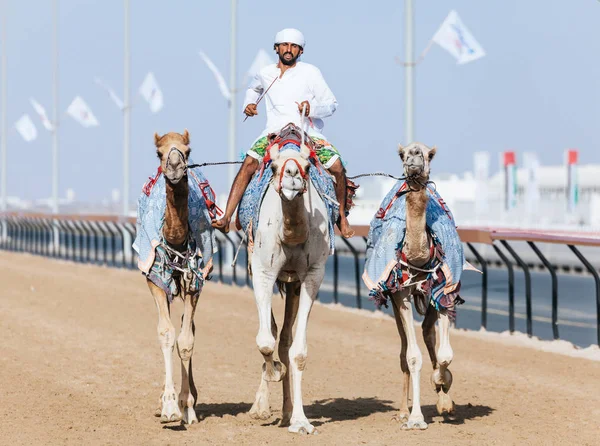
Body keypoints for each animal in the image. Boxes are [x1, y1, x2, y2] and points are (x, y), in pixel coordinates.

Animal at [247, 140, 330, 436]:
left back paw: (286, 413)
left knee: (284, 338)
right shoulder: (262, 270)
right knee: (272, 334)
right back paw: (261, 406)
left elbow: (299, 351)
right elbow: (264, 341)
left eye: (308, 166)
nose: (292, 175)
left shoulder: (313, 275)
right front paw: (273, 371)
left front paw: (301, 421)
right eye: (273, 166)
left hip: (293, 285)